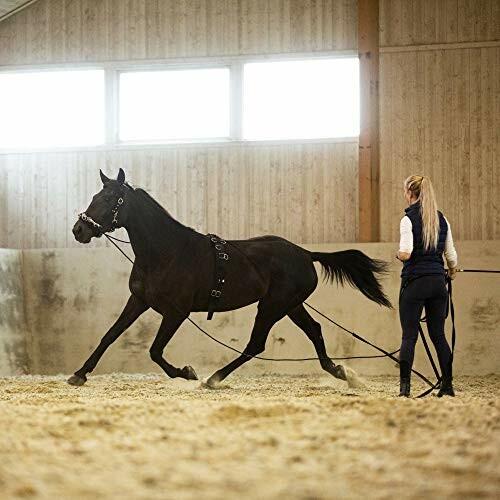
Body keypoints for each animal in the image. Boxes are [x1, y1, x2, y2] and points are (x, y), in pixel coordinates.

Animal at [68, 170, 392, 388]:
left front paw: (187, 373)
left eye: (110, 198)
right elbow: (110, 335)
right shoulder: (138, 300)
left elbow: (155, 350)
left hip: (272, 307)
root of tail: (305, 253)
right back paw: (339, 371)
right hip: (290, 305)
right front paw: (79, 374)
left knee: (255, 345)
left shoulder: (176, 312)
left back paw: (213, 378)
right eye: (95, 196)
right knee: (314, 330)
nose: (79, 230)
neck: (166, 251)